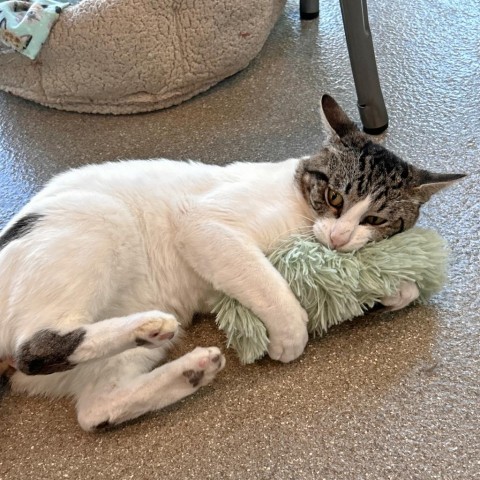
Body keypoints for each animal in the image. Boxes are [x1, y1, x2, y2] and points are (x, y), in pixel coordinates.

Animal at [0, 94, 464, 432]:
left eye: (375, 220)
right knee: (33, 346)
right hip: (99, 217)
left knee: (95, 409)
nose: (339, 237)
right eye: (334, 197)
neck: (300, 207)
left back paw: (191, 369)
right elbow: (268, 281)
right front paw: (291, 334)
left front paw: (390, 292)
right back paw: (151, 328)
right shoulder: (204, 225)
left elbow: (388, 285)